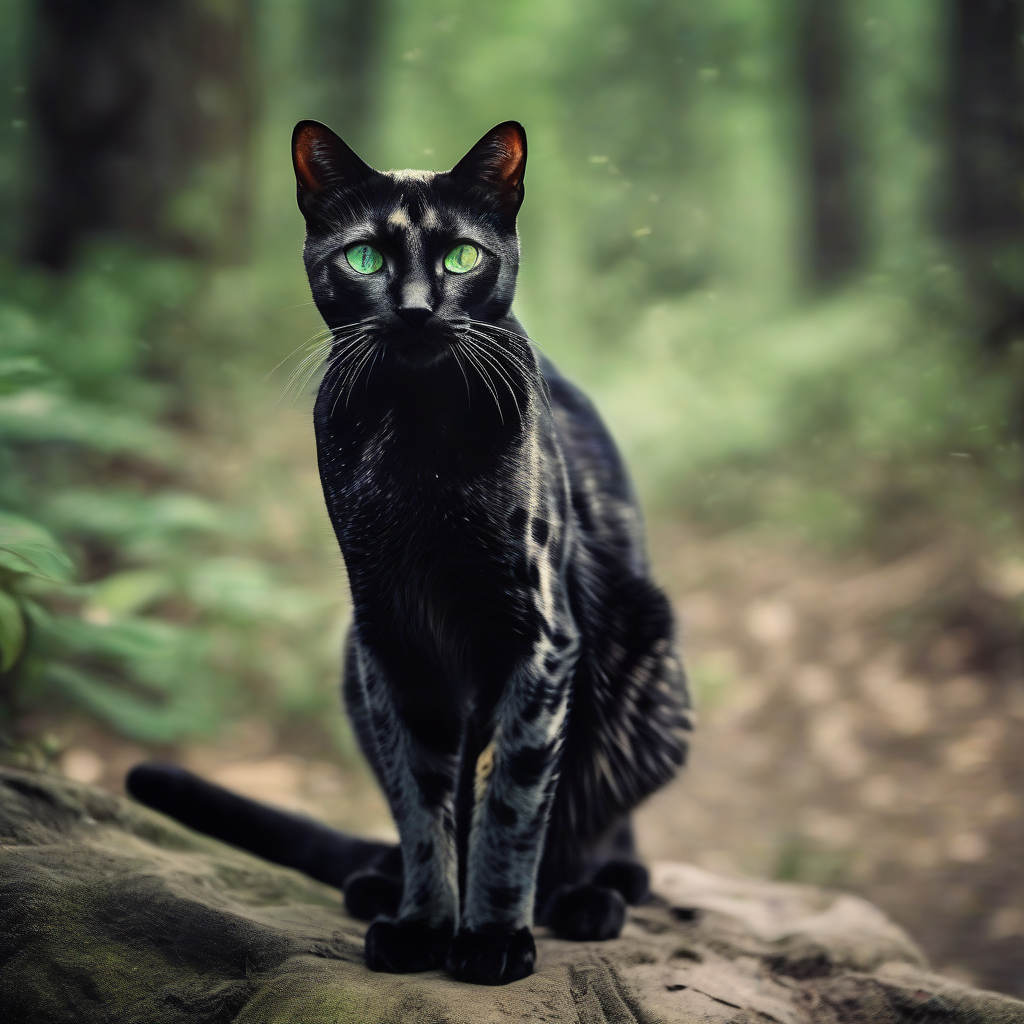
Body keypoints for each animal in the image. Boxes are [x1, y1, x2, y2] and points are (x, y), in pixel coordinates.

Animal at [125, 117, 688, 983]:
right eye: (365, 259)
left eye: (460, 257)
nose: (418, 309)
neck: (419, 444)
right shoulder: (391, 636)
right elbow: (422, 800)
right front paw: (423, 924)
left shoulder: (537, 639)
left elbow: (509, 802)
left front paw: (491, 938)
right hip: (352, 659)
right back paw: (378, 883)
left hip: (646, 658)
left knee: (597, 827)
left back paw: (590, 896)